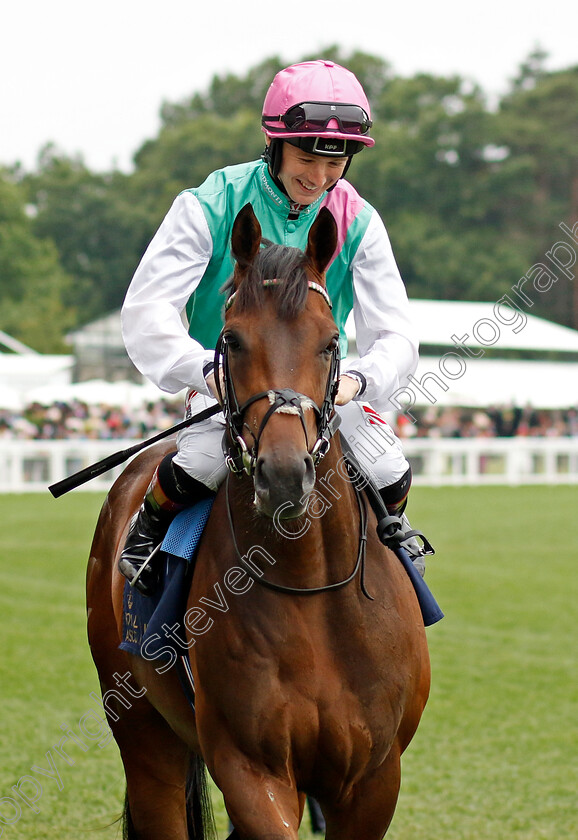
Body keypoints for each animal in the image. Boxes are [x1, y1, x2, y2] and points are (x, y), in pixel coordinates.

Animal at [84, 205, 428, 840]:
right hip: (143, 730)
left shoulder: (373, 779)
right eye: (232, 339)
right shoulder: (252, 770)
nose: (285, 475)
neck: (312, 589)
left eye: (330, 341)